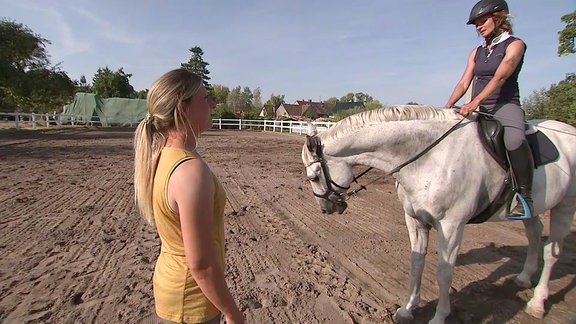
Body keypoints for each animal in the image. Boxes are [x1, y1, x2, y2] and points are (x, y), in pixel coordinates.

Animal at [302, 105, 576, 322]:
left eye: (314, 177)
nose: (325, 209)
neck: (431, 157)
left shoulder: (451, 225)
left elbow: (444, 271)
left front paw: (439, 316)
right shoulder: (414, 219)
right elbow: (416, 262)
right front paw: (407, 309)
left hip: (565, 206)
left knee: (552, 251)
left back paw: (537, 303)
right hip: (533, 208)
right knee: (535, 234)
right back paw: (524, 277)